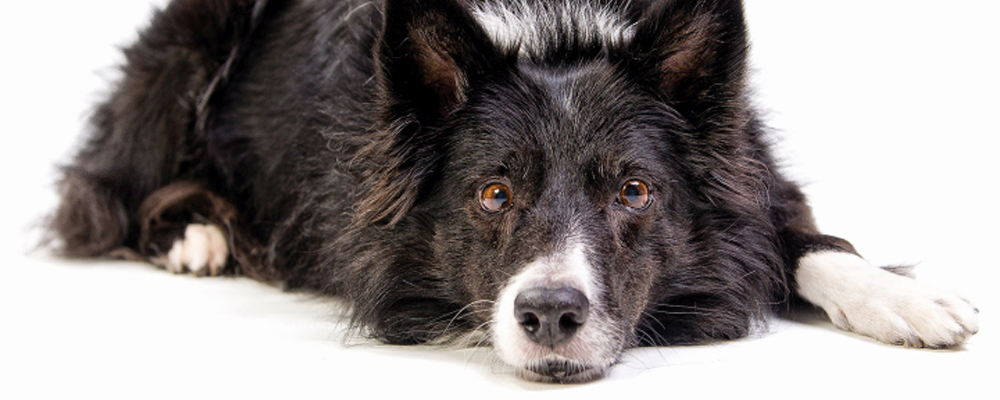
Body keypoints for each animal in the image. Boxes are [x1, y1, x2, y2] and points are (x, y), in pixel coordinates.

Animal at [50, 0, 980, 382]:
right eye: (493, 195)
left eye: (634, 191)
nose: (551, 316)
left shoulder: (749, 170)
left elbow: (811, 241)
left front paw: (905, 299)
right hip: (182, 62)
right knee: (105, 196)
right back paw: (196, 236)